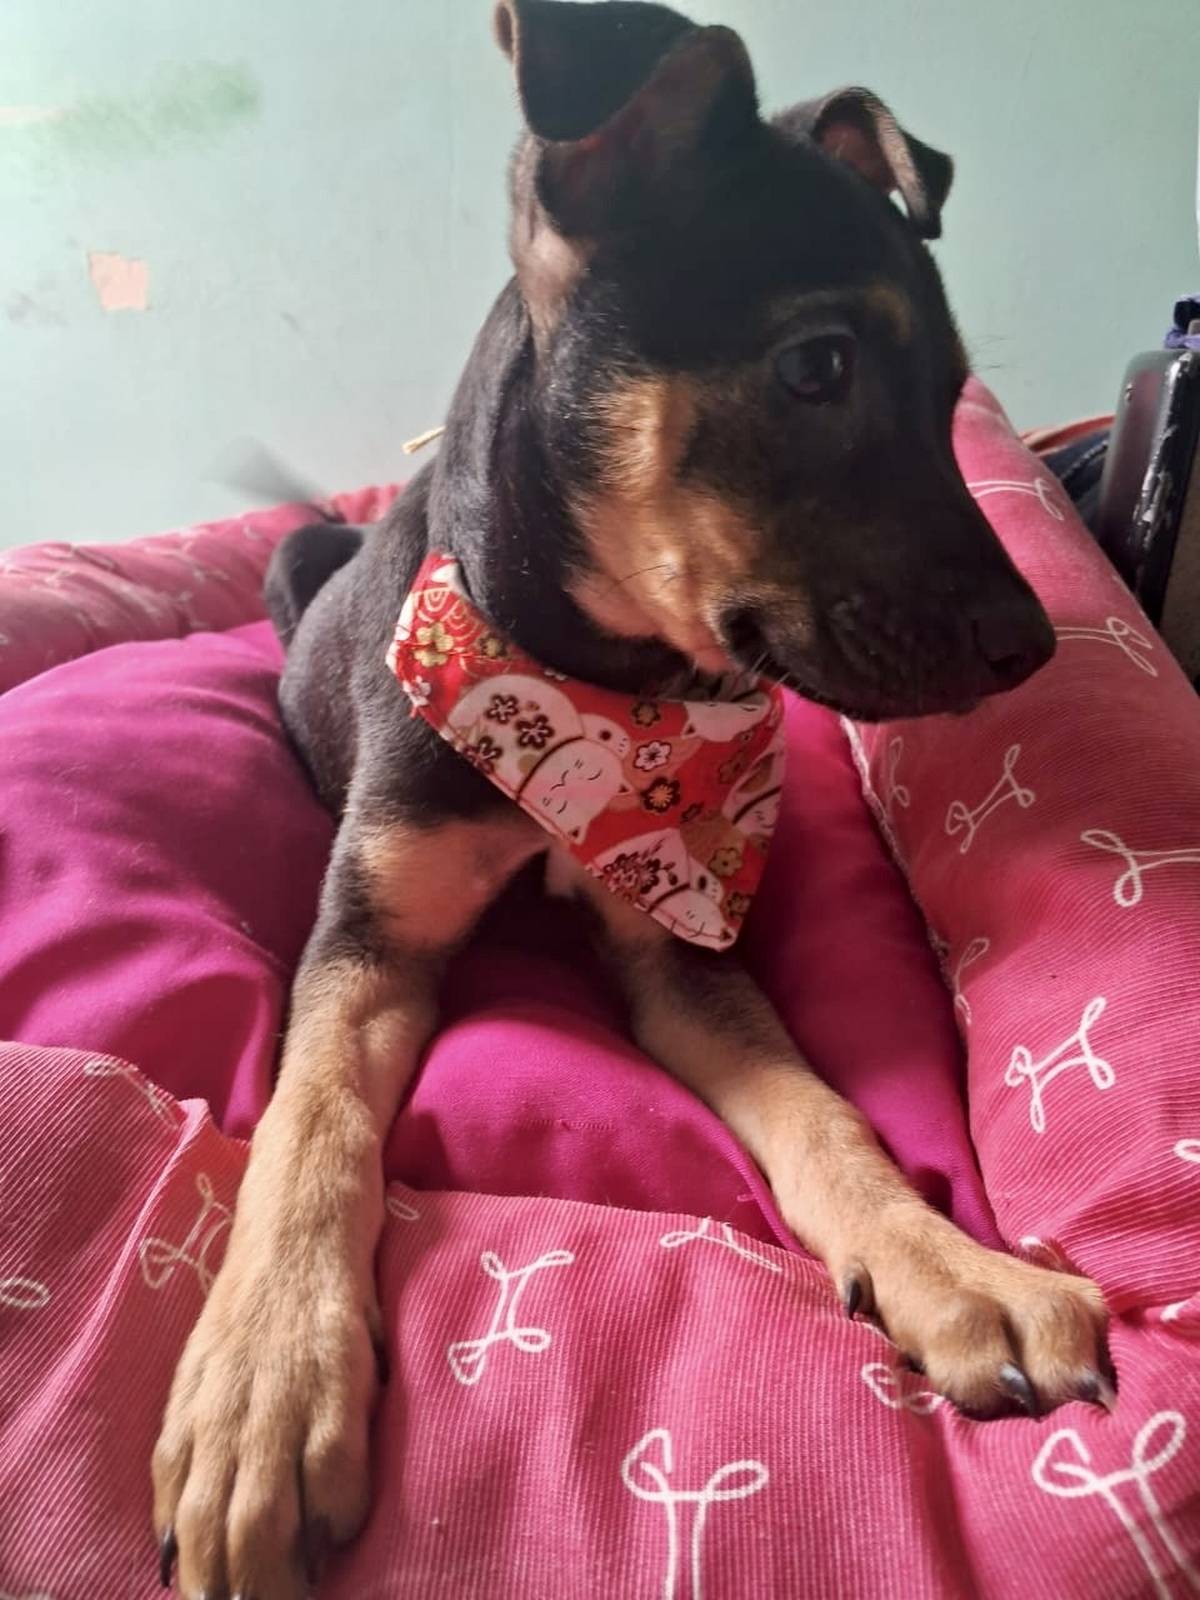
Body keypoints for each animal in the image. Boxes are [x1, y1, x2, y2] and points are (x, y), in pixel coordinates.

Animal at [153, 4, 1110, 1594]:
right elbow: (308, 1126)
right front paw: (262, 1392)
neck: (591, 687)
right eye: (816, 366)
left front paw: (946, 1266)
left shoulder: (680, 943)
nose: (1033, 647)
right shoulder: (367, 944)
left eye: (950, 399)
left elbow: (819, 1108)